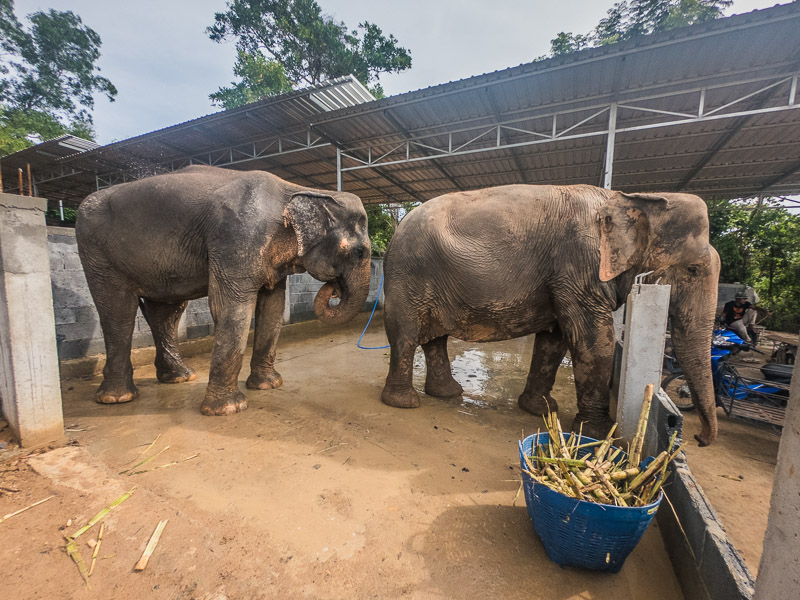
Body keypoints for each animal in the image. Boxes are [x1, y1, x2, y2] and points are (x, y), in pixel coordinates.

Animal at [76, 164, 370, 418]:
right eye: (361, 252)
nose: (335, 289)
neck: (298, 189)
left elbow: (273, 305)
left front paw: (268, 386)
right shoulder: (238, 237)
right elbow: (232, 305)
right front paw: (229, 409)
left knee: (166, 313)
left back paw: (180, 377)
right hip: (98, 254)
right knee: (118, 311)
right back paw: (118, 398)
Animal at [378, 185, 720, 448]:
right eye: (693, 269)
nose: (699, 439)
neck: (632, 199)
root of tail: (397, 229)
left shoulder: (566, 277)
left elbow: (555, 340)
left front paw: (541, 411)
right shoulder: (580, 265)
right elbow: (592, 339)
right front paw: (598, 433)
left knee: (435, 338)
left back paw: (448, 394)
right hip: (407, 274)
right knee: (406, 335)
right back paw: (405, 403)